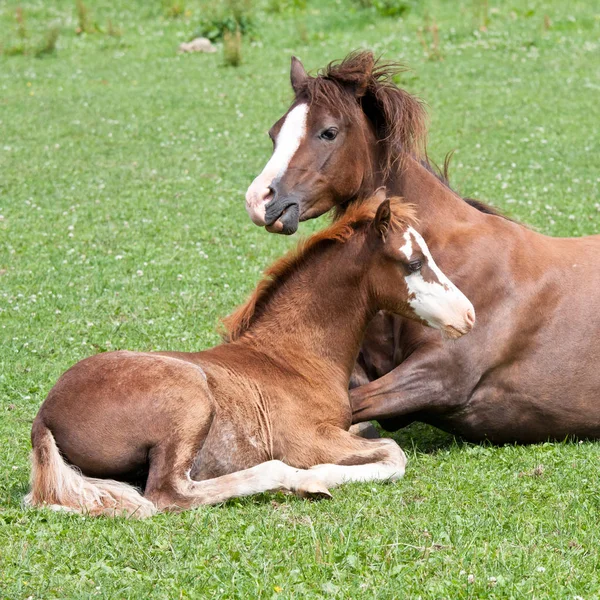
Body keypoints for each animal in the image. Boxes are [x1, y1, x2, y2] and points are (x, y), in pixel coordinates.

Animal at [24, 196, 474, 516]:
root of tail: (45, 416)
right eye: (414, 262)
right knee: (169, 493)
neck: (294, 358)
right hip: (190, 398)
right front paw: (317, 477)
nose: (468, 315)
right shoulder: (310, 440)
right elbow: (393, 454)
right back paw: (298, 482)